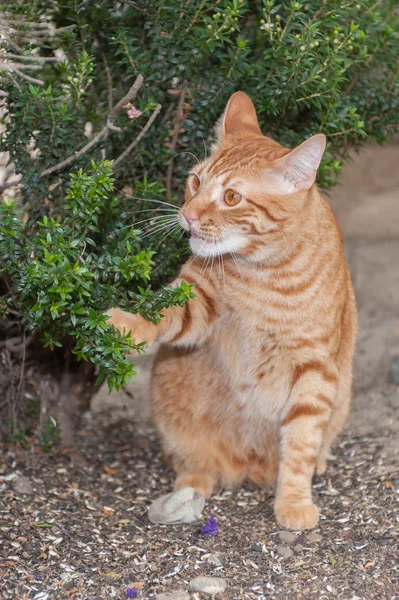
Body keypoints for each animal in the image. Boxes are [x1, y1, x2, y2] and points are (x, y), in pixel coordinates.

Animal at [108, 92, 358, 528]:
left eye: (231, 198)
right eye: (196, 181)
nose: (188, 215)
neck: (264, 274)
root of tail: (246, 465)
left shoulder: (315, 368)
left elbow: (301, 443)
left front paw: (294, 501)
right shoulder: (197, 305)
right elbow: (158, 315)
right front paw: (124, 322)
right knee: (195, 465)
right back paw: (191, 485)